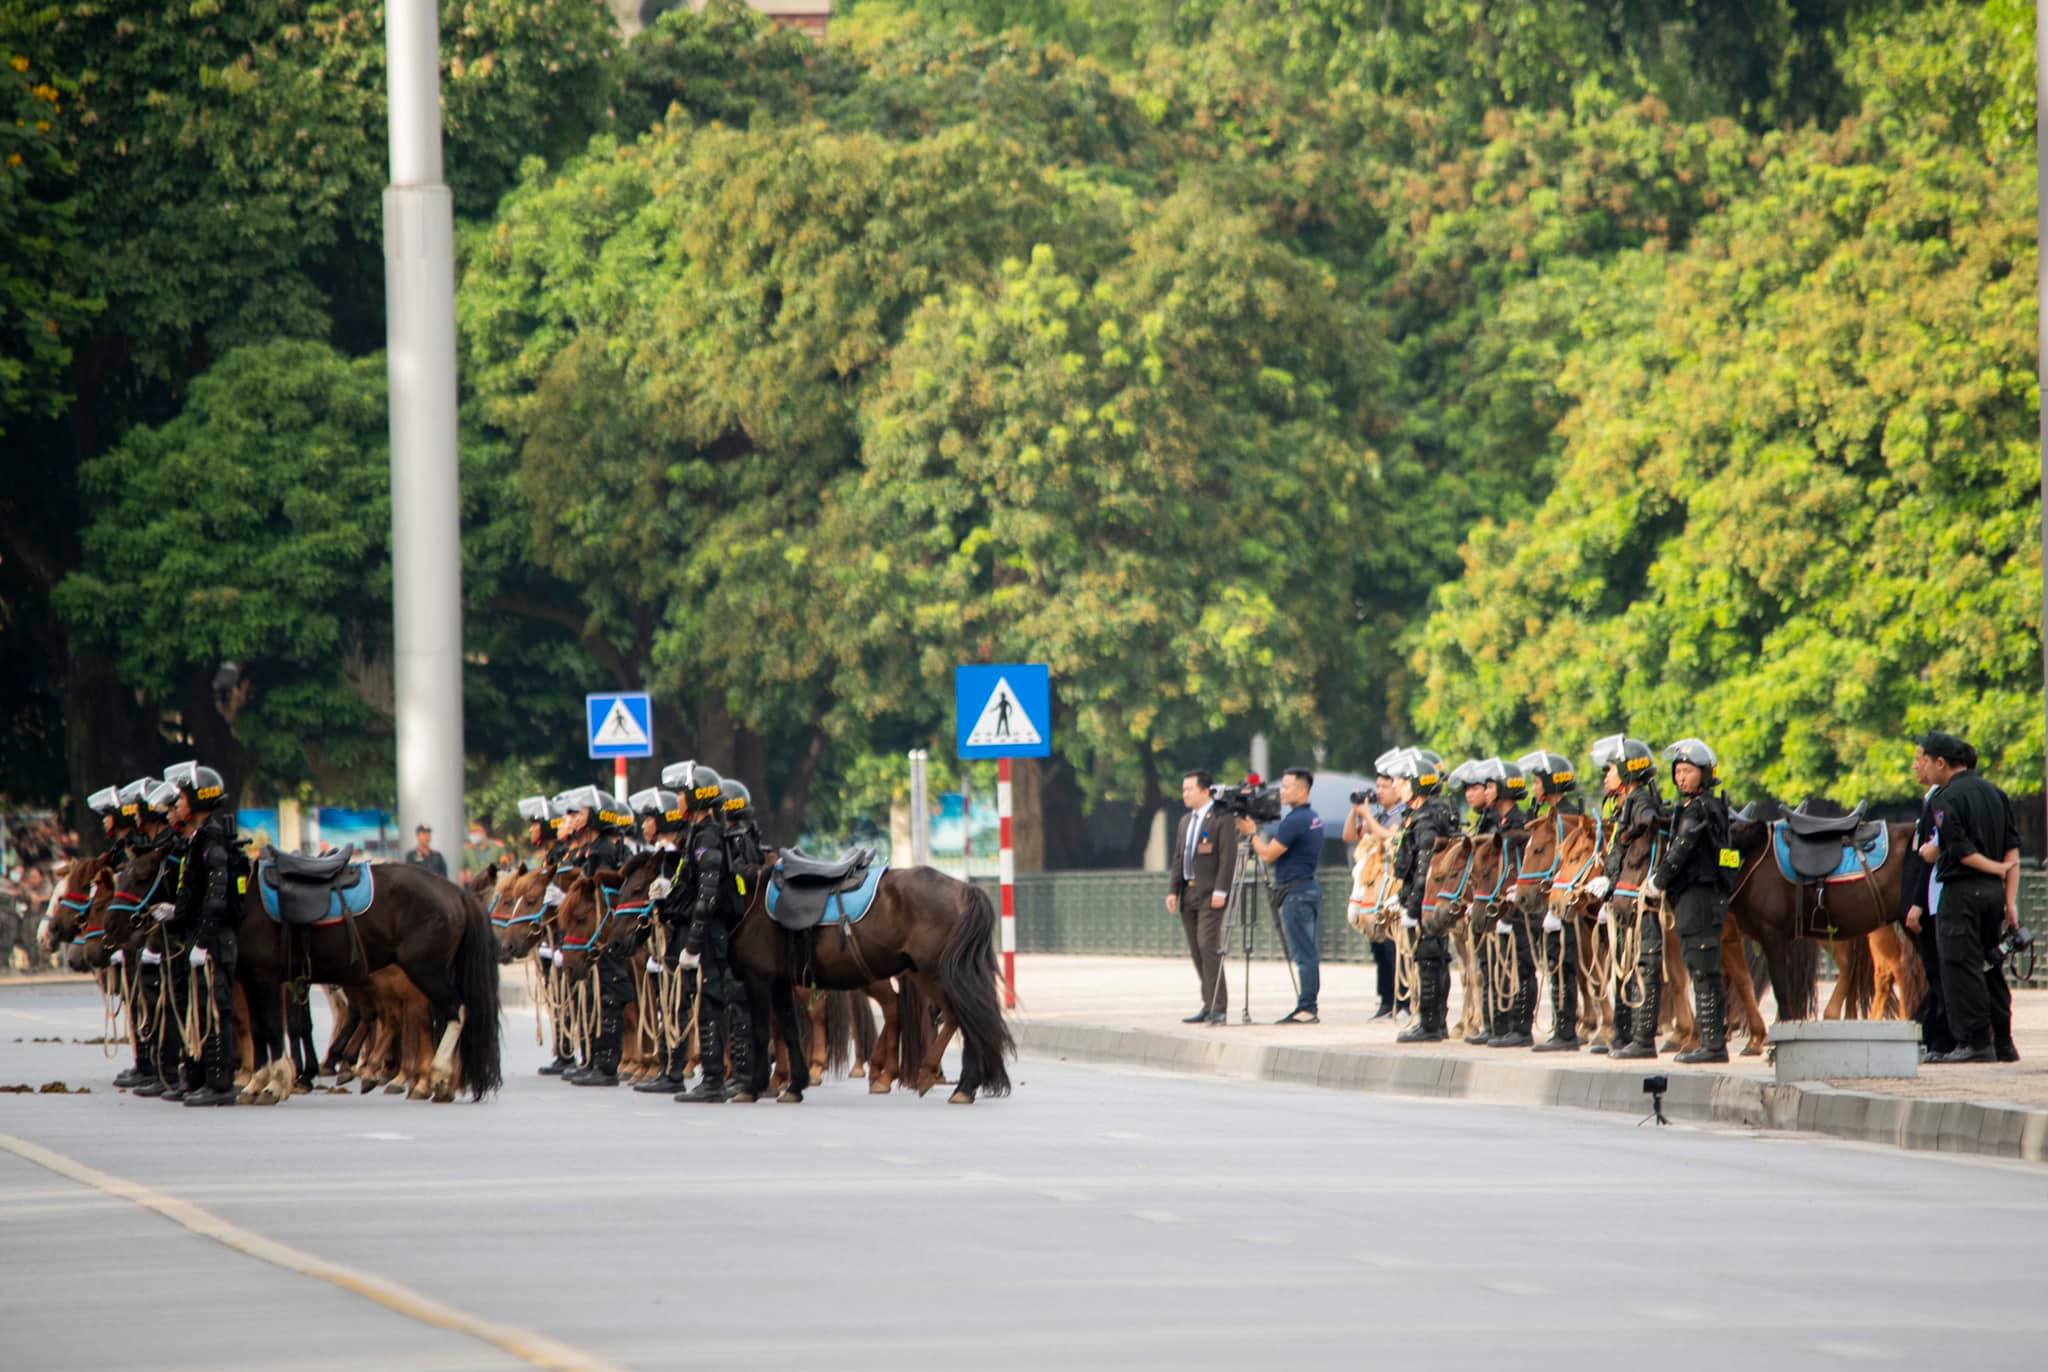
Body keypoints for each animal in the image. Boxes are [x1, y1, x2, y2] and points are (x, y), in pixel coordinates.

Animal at [101, 847, 501, 1105]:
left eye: (140, 876)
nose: (112, 927)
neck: (240, 899)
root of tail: (455, 890)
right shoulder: (250, 977)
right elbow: (261, 1028)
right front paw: (261, 1080)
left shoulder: (263, 976)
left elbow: (270, 1027)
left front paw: (272, 1083)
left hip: (425, 970)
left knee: (455, 1012)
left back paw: (436, 1076)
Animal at [733, 872, 1011, 1105]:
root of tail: (964, 889)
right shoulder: (777, 980)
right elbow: (784, 1028)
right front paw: (786, 1082)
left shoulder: (761, 976)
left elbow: (766, 1029)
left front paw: (762, 1085)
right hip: (918, 973)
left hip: (929, 973)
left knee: (950, 1014)